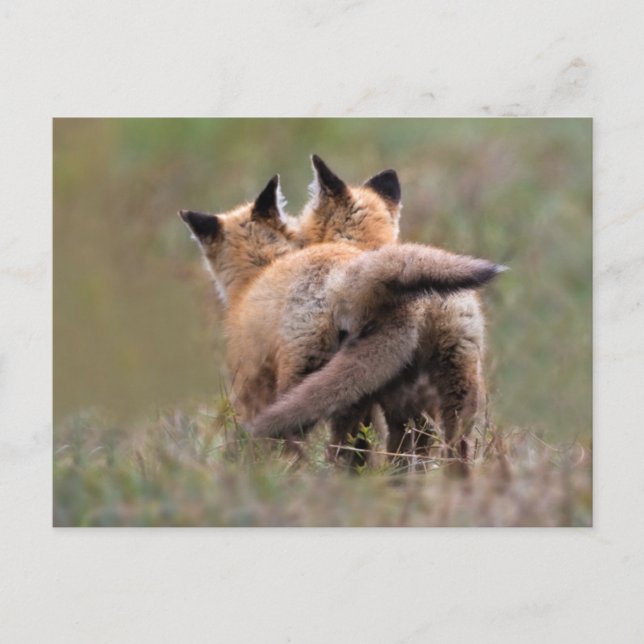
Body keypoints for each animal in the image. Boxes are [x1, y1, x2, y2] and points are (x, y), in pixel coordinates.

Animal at [179, 165, 502, 461]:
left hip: (310, 382)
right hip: (439, 390)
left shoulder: (251, 379)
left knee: (301, 447)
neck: (260, 271)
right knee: (436, 451)